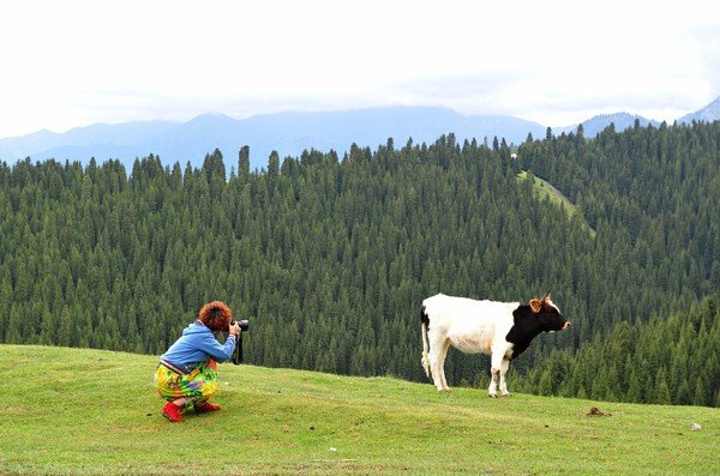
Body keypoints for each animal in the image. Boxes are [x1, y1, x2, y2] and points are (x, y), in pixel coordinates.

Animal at [420, 292, 572, 396]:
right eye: (551, 311)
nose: (568, 324)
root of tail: (428, 301)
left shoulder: (508, 352)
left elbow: (504, 372)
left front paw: (505, 392)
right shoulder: (499, 348)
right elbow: (495, 370)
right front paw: (492, 392)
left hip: (445, 341)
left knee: (440, 362)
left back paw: (446, 387)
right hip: (436, 337)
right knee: (434, 361)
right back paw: (439, 387)